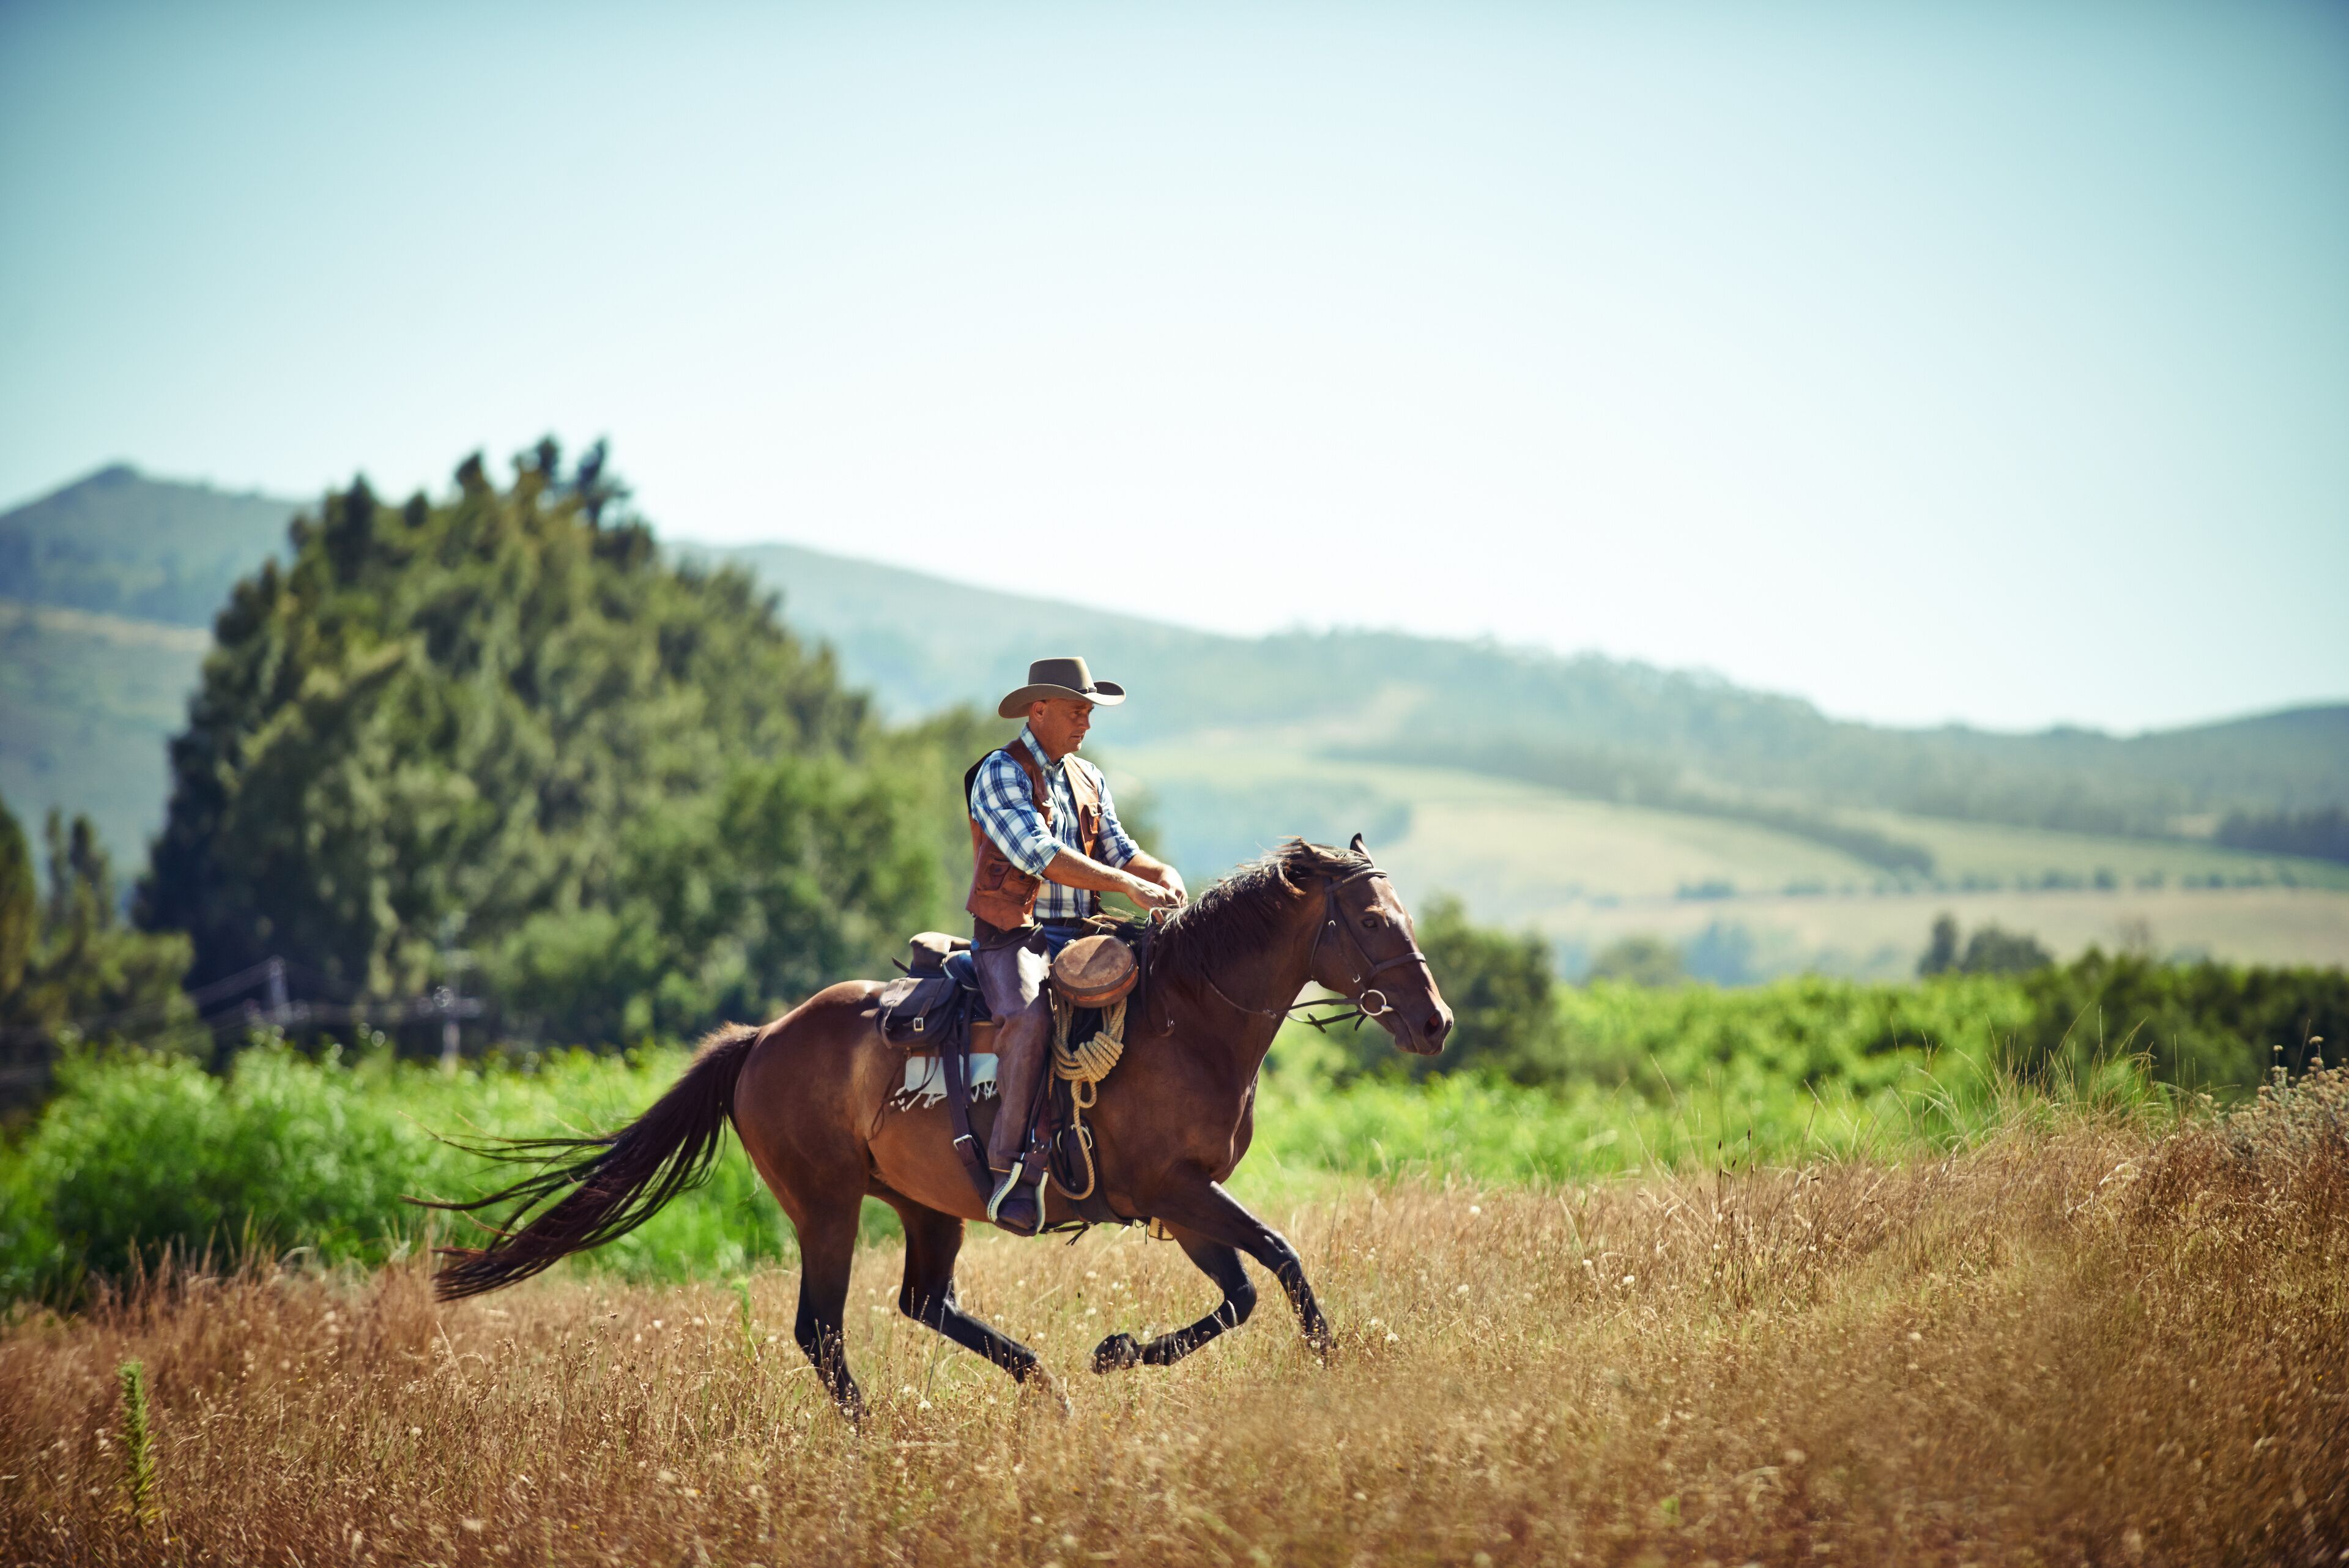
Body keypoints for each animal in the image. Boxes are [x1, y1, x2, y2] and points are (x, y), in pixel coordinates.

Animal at [422, 836, 1453, 1419]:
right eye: (1370, 918)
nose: (1436, 1020)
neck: (1184, 1019)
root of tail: (761, 1039)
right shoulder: (1176, 1188)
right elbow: (1279, 1256)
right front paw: (1329, 1372)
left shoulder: (1182, 1199)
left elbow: (1242, 1289)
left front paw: (1118, 1351)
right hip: (827, 1203)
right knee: (821, 1329)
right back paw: (879, 1431)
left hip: (927, 1204)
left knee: (924, 1301)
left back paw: (1050, 1388)